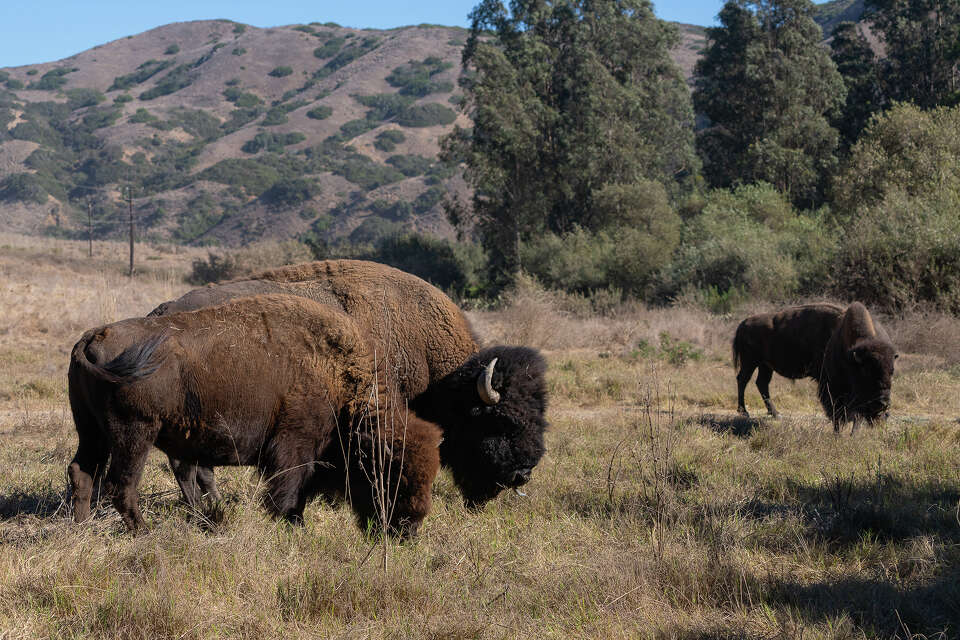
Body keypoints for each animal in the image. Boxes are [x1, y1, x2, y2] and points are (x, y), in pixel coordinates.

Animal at [68, 295, 441, 535]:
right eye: (396, 476)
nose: (408, 530)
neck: (338, 376)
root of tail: (94, 335)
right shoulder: (294, 447)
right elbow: (288, 491)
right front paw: (291, 526)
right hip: (135, 434)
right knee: (121, 484)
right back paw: (146, 532)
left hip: (92, 432)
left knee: (82, 472)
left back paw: (82, 529)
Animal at [733, 302, 897, 430]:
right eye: (867, 371)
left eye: (892, 371)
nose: (882, 404)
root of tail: (743, 324)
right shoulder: (827, 380)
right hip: (750, 362)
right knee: (743, 379)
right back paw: (744, 412)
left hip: (765, 365)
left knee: (761, 383)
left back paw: (775, 414)